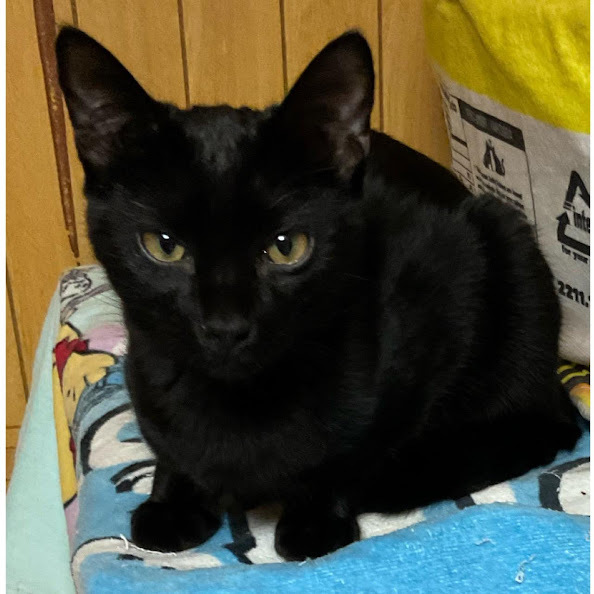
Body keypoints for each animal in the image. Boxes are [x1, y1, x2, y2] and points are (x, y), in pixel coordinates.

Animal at [56, 27, 580, 561]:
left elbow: (349, 451)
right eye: (163, 246)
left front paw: (315, 519)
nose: (225, 326)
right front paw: (171, 502)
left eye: (286, 247)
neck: (240, 404)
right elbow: (170, 447)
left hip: (510, 250)